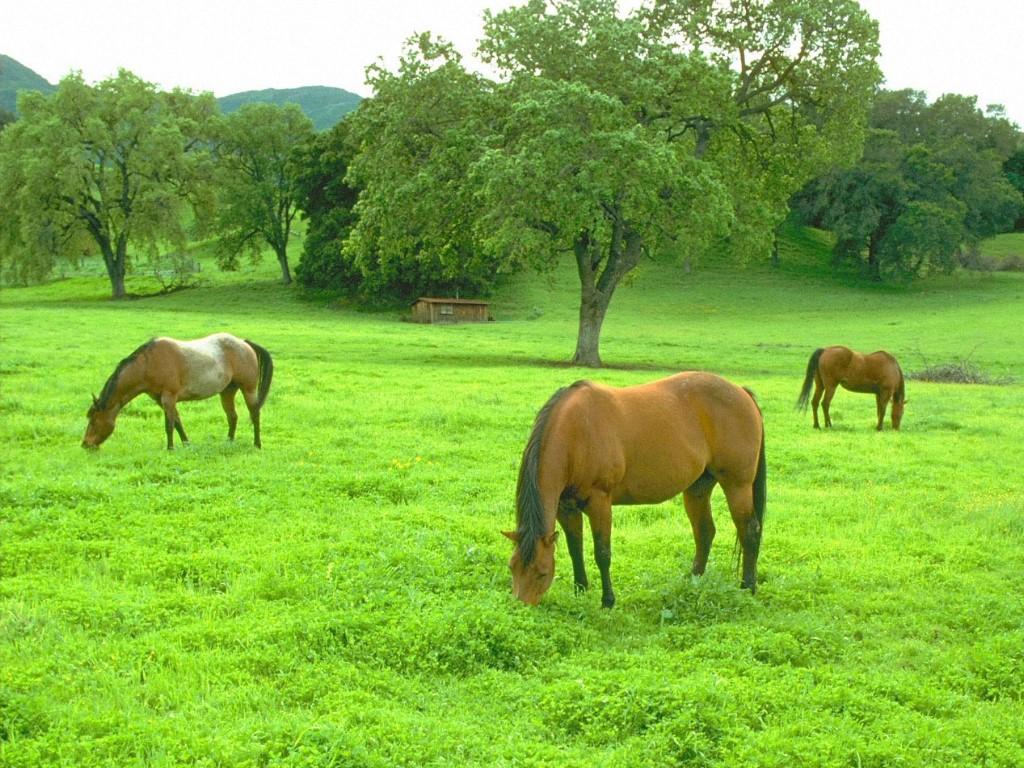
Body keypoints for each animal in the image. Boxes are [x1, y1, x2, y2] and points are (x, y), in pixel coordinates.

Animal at [81, 331, 272, 450]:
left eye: (94, 421)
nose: (85, 444)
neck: (148, 363)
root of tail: (244, 343)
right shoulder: (161, 399)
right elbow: (178, 422)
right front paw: (187, 444)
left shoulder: (169, 397)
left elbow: (169, 425)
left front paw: (170, 448)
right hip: (227, 391)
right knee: (232, 417)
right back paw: (229, 442)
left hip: (248, 389)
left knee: (255, 414)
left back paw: (257, 444)